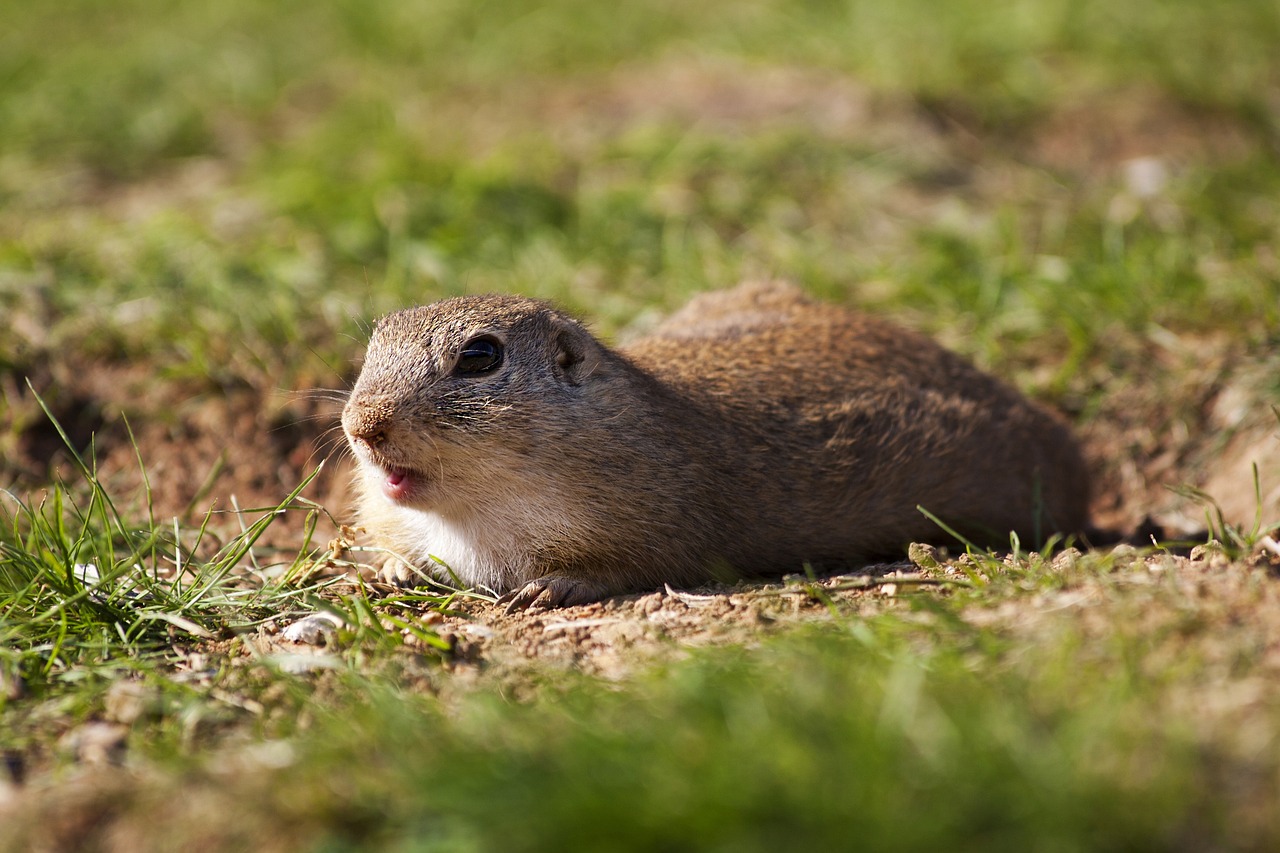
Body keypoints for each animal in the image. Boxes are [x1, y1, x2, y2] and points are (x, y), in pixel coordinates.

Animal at [342, 282, 1090, 609]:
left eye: (480, 356)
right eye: (374, 342)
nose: (360, 425)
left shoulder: (657, 519)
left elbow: (632, 565)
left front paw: (548, 587)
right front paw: (395, 570)